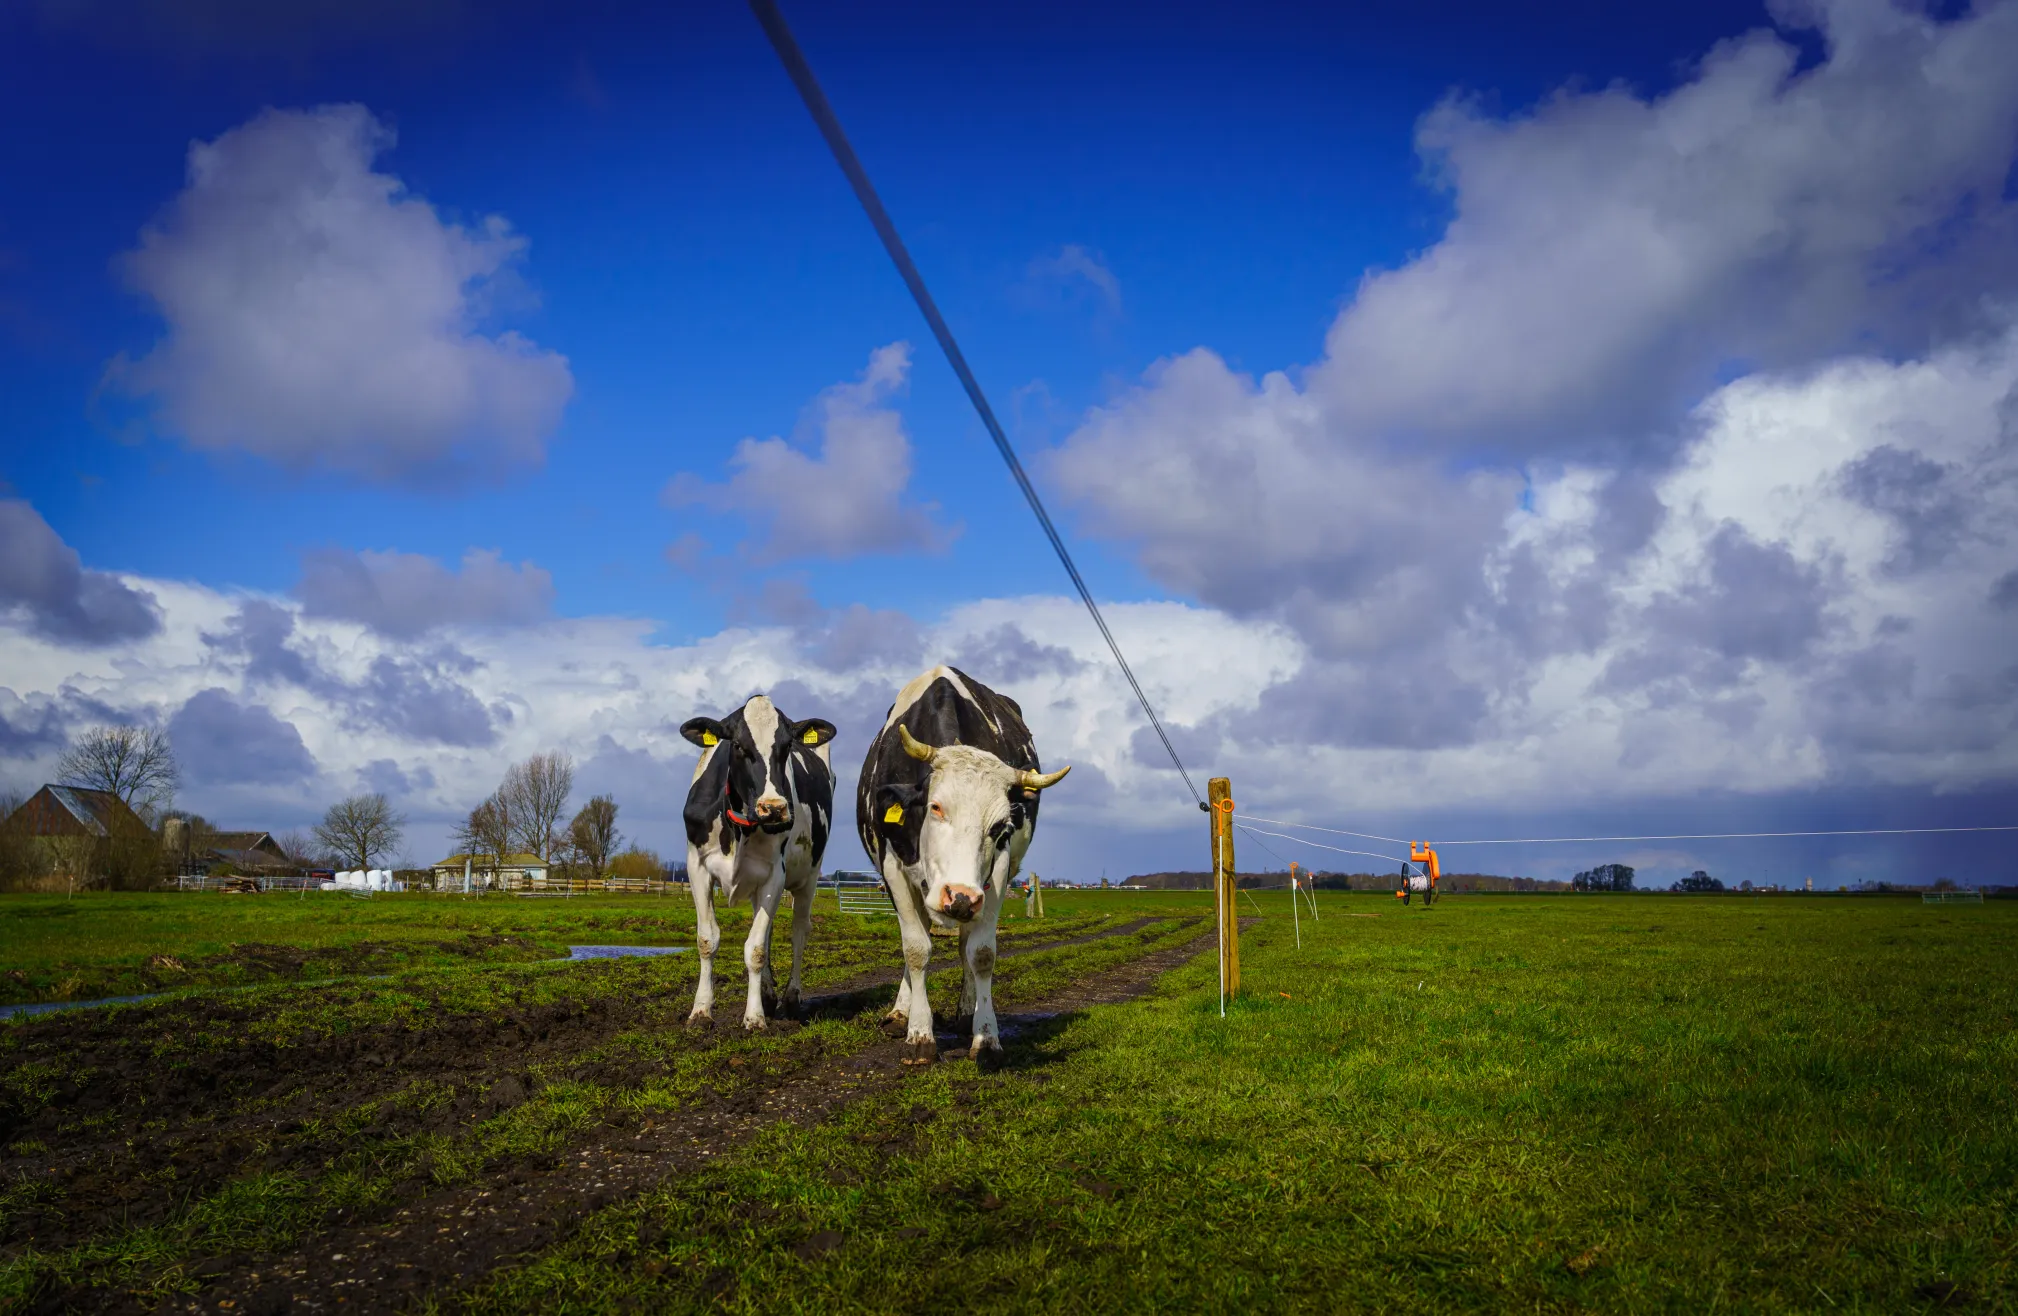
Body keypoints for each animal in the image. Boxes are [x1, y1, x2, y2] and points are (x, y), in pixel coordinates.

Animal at [680, 695, 836, 1031]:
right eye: (738, 745)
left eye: (787, 746)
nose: (774, 808)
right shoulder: (696, 867)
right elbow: (707, 940)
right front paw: (701, 1011)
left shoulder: (774, 875)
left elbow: (755, 949)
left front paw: (754, 1017)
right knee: (767, 929)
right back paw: (767, 993)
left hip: (810, 875)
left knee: (798, 931)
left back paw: (790, 997)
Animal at [855, 666, 1070, 1065]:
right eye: (936, 807)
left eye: (1000, 826)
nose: (959, 896)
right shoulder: (893, 869)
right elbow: (916, 949)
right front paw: (919, 1034)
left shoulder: (997, 874)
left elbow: (981, 953)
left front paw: (985, 1036)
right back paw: (901, 1012)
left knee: (964, 946)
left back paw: (964, 1011)